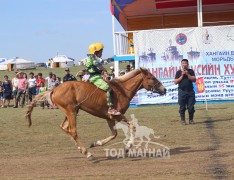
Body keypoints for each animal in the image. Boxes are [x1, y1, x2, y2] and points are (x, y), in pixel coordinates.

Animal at [25, 67, 166, 160]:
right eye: (152, 78)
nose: (164, 89)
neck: (121, 90)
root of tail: (54, 89)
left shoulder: (109, 118)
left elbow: (114, 134)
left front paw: (95, 143)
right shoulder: (117, 115)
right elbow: (132, 125)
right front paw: (127, 147)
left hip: (72, 111)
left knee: (65, 127)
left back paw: (81, 148)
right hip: (71, 112)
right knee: (73, 131)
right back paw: (87, 153)